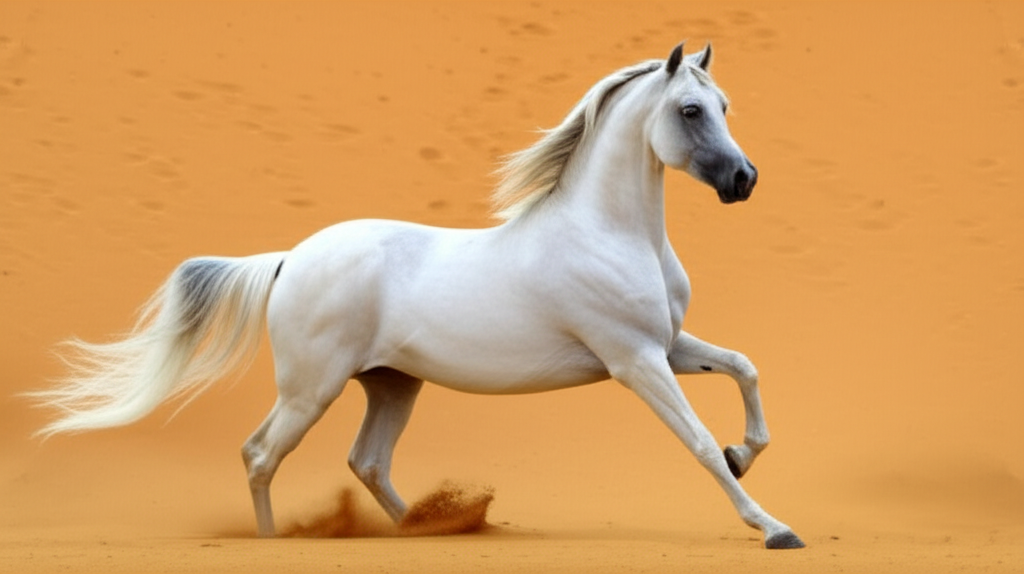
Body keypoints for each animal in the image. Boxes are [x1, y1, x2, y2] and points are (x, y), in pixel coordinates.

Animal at [30, 43, 804, 549]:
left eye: (724, 105)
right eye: (691, 109)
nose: (744, 180)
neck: (608, 231)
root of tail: (288, 260)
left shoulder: (666, 346)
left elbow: (745, 369)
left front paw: (746, 453)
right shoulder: (633, 360)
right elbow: (698, 442)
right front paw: (772, 527)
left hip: (392, 383)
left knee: (367, 461)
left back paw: (427, 528)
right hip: (313, 387)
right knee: (260, 454)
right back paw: (279, 541)